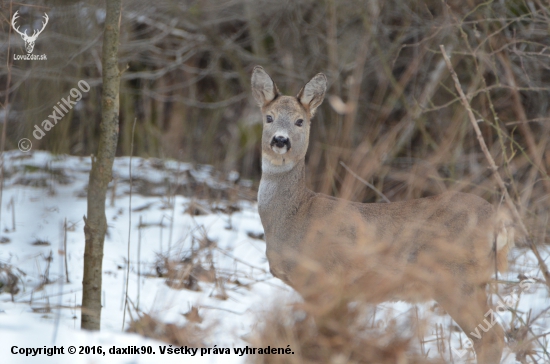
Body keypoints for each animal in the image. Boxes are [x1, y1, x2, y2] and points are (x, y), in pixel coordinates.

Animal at [254, 66, 516, 364]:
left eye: (300, 121)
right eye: (269, 117)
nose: (280, 140)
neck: (294, 216)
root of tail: (498, 222)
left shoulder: (324, 281)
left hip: (457, 279)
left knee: (490, 337)